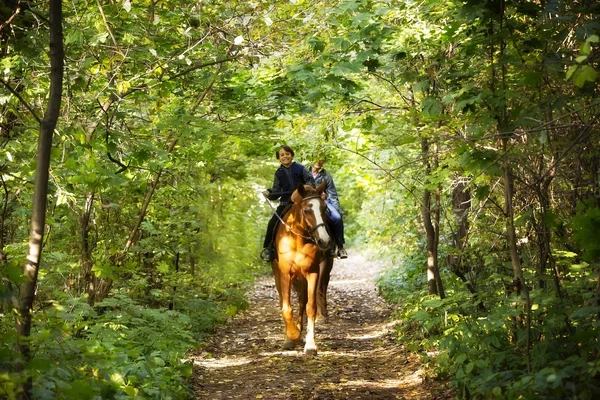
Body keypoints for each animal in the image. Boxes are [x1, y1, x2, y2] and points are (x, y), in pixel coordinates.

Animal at [272, 180, 332, 354]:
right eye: (307, 210)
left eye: (324, 208)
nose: (324, 241)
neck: (298, 240)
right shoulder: (285, 274)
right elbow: (286, 308)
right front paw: (291, 336)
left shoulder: (312, 273)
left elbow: (310, 307)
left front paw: (310, 344)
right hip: (279, 275)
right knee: (284, 302)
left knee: (302, 302)